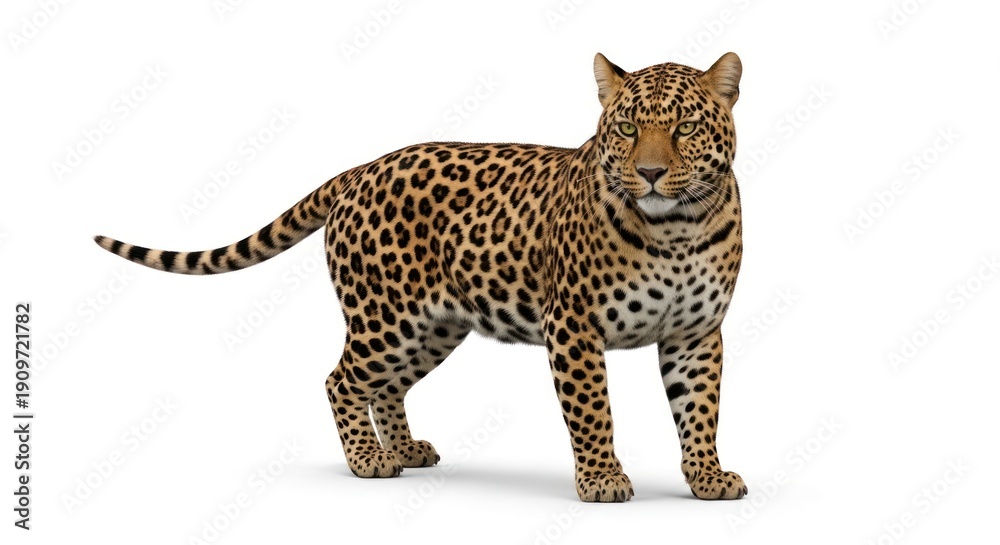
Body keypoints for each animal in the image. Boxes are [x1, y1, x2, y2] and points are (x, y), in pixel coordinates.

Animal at [95, 52, 747, 502]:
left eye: (686, 128)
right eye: (627, 129)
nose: (652, 173)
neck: (677, 230)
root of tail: (361, 169)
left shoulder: (696, 333)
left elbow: (701, 408)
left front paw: (707, 477)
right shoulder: (574, 326)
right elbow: (591, 411)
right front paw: (603, 480)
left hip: (432, 327)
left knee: (386, 386)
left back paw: (404, 448)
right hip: (384, 318)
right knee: (340, 380)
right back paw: (367, 461)